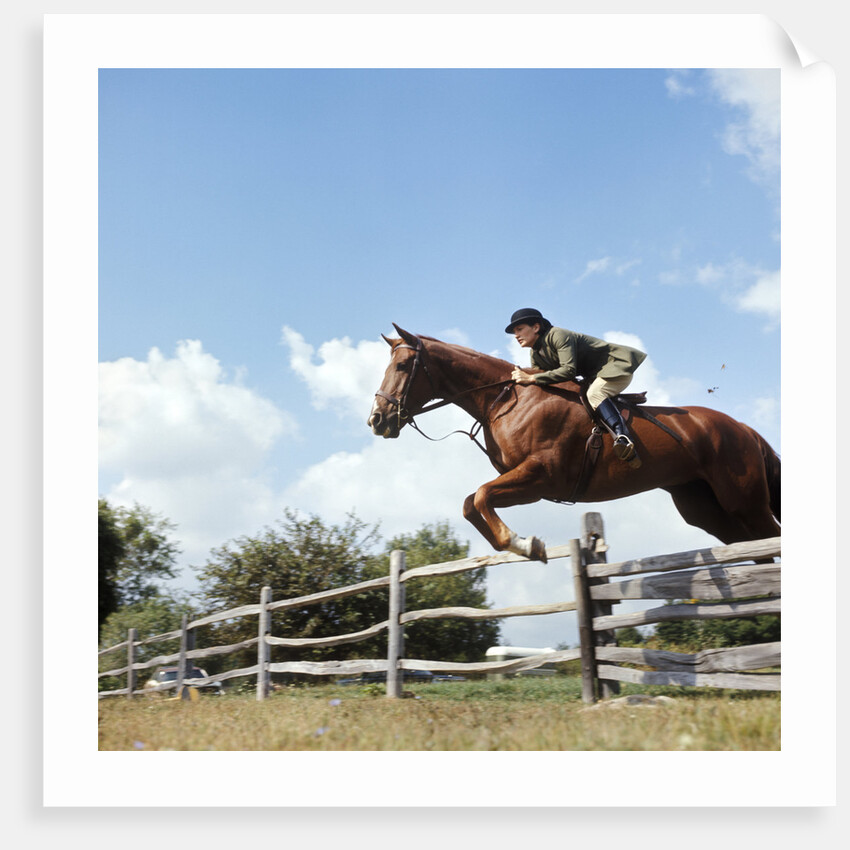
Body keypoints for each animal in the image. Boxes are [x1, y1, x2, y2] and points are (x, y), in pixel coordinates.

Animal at [368, 325, 780, 563]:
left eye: (401, 367)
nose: (377, 420)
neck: (505, 399)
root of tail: (745, 429)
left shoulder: (539, 476)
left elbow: (482, 496)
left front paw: (526, 544)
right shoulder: (528, 485)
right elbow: (472, 503)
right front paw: (521, 546)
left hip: (744, 501)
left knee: (770, 536)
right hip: (705, 508)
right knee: (752, 547)